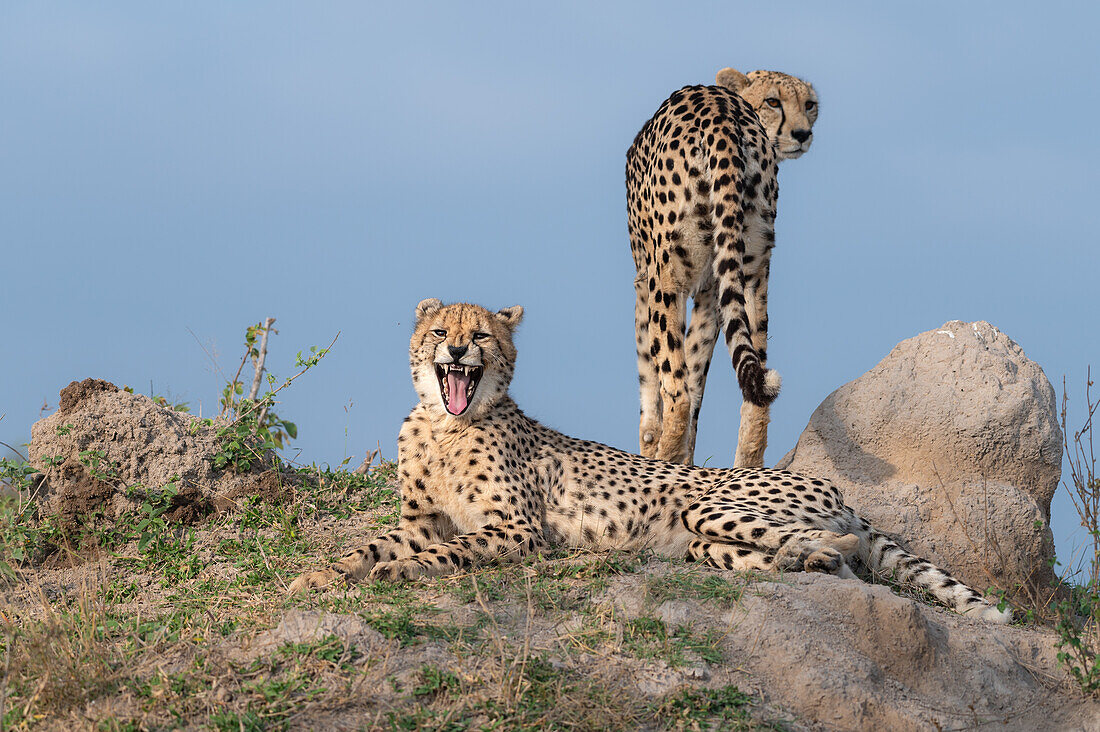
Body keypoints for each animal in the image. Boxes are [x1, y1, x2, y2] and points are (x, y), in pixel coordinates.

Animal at [288, 297, 1007, 620]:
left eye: (482, 336)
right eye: (441, 331)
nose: (459, 352)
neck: (446, 425)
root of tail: (836, 490)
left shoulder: (516, 531)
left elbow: (446, 551)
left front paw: (395, 574)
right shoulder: (419, 519)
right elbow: (369, 545)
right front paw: (319, 576)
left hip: (712, 507)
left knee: (844, 550)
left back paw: (823, 557)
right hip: (703, 539)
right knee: (794, 554)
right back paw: (801, 564)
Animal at [629, 69, 818, 468]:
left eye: (808, 104)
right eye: (773, 101)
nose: (801, 133)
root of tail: (721, 111)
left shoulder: (645, 282)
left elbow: (651, 384)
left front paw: (653, 448)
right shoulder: (712, 294)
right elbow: (696, 370)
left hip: (666, 274)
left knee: (677, 392)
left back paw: (664, 461)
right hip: (753, 268)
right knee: (754, 394)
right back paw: (746, 465)